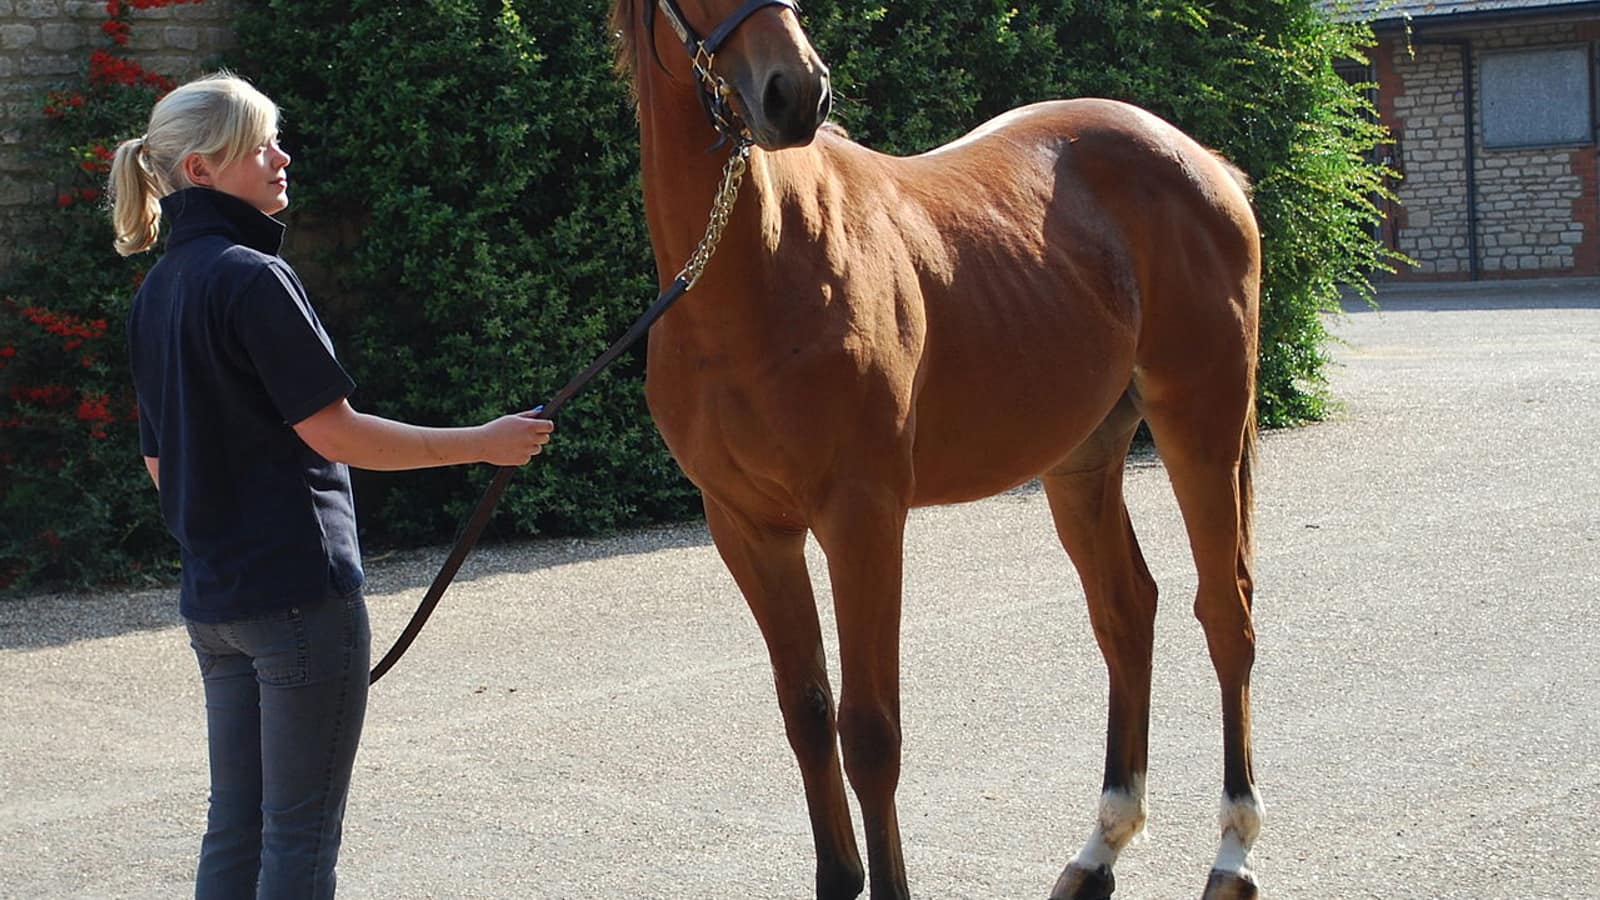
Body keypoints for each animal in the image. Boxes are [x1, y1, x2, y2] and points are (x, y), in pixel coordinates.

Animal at [614, 0, 1264, 897]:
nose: (795, 93)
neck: (757, 275)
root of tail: (1206, 164)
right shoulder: (748, 529)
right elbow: (807, 713)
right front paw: (837, 876)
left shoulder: (862, 519)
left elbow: (870, 732)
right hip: (1081, 461)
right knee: (1126, 613)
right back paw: (1098, 850)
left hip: (1202, 426)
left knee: (1226, 614)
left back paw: (1232, 854)